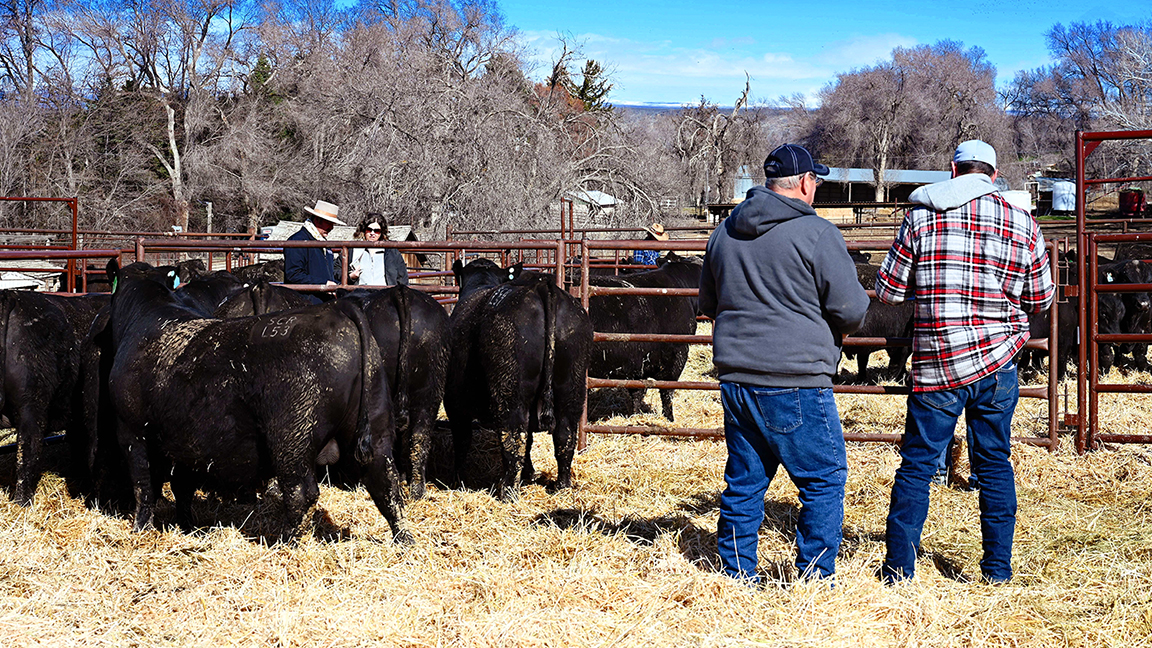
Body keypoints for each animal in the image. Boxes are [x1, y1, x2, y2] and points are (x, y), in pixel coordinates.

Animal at [99, 261, 410, 542]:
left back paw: (285, 541)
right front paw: (186, 525)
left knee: (301, 492)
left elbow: (143, 485)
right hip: (377, 425)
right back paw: (404, 540)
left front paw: (140, 528)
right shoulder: (183, 441)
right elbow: (181, 486)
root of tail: (339, 309)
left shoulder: (130, 430)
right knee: (386, 484)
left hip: (292, 438)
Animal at [445, 259, 592, 501]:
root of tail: (542, 287)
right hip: (572, 387)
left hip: (510, 391)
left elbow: (462, 441)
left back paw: (508, 491)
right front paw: (530, 474)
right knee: (564, 436)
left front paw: (457, 480)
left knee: (514, 437)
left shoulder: (454, 404)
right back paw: (562, 486)